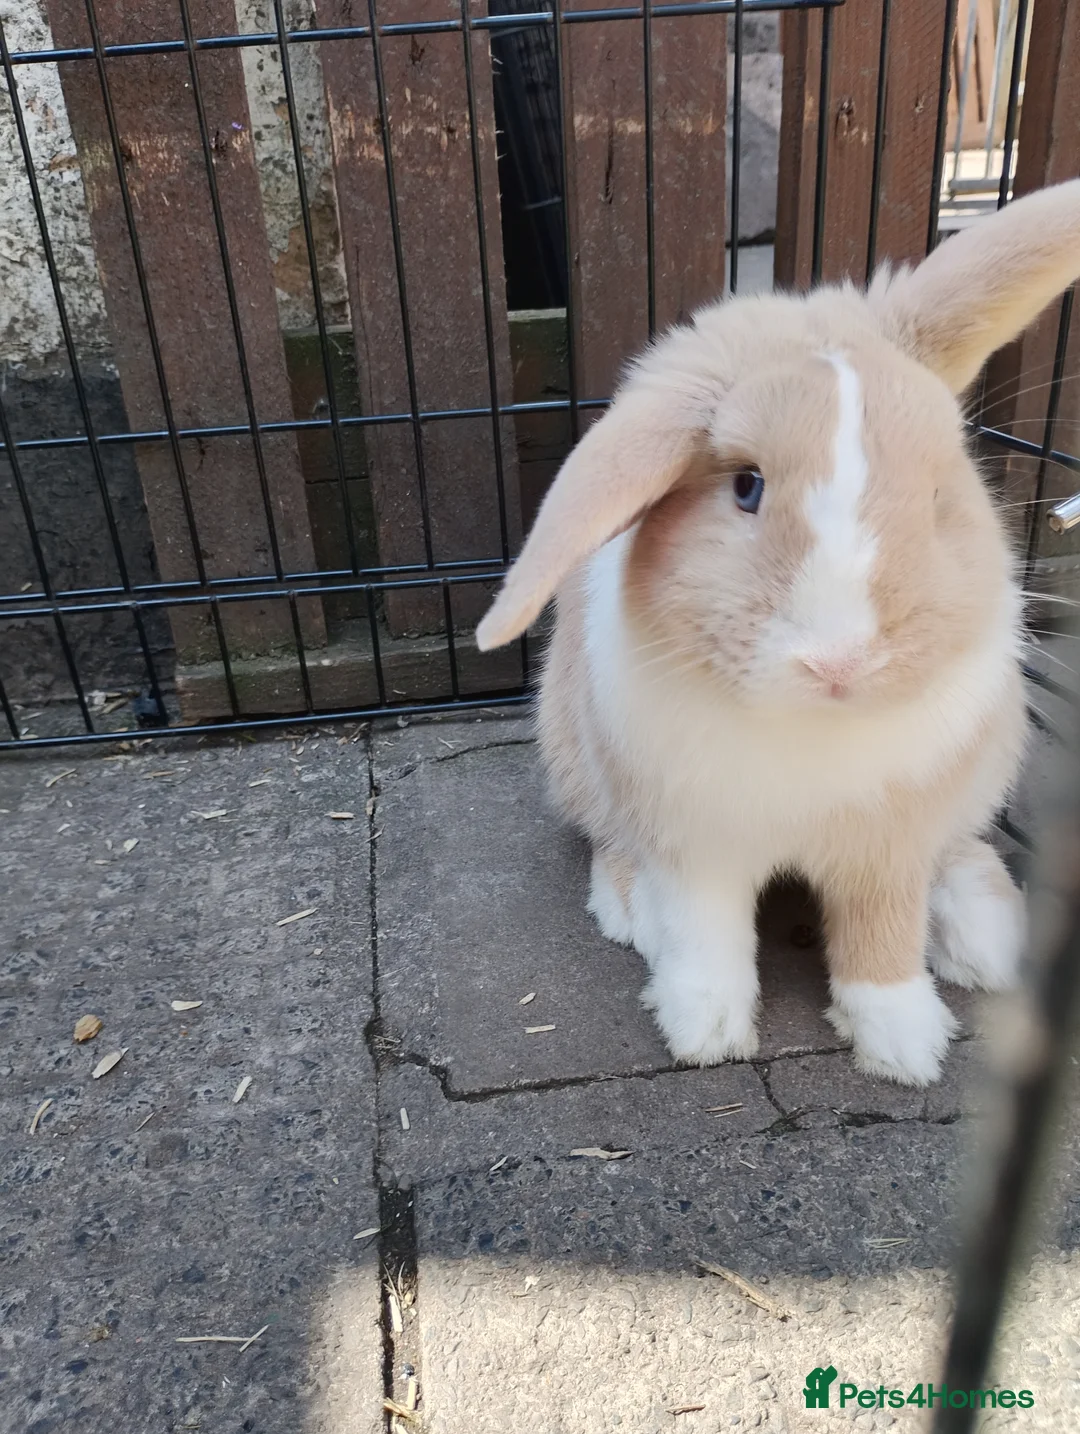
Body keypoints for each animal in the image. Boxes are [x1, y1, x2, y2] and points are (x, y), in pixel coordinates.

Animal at [476, 180, 1080, 1086]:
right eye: (746, 488)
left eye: (942, 495)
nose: (841, 659)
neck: (812, 725)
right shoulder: (696, 845)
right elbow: (706, 940)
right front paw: (705, 1032)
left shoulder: (890, 846)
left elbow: (882, 939)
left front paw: (903, 1046)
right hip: (580, 763)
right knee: (609, 844)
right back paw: (628, 911)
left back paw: (985, 936)